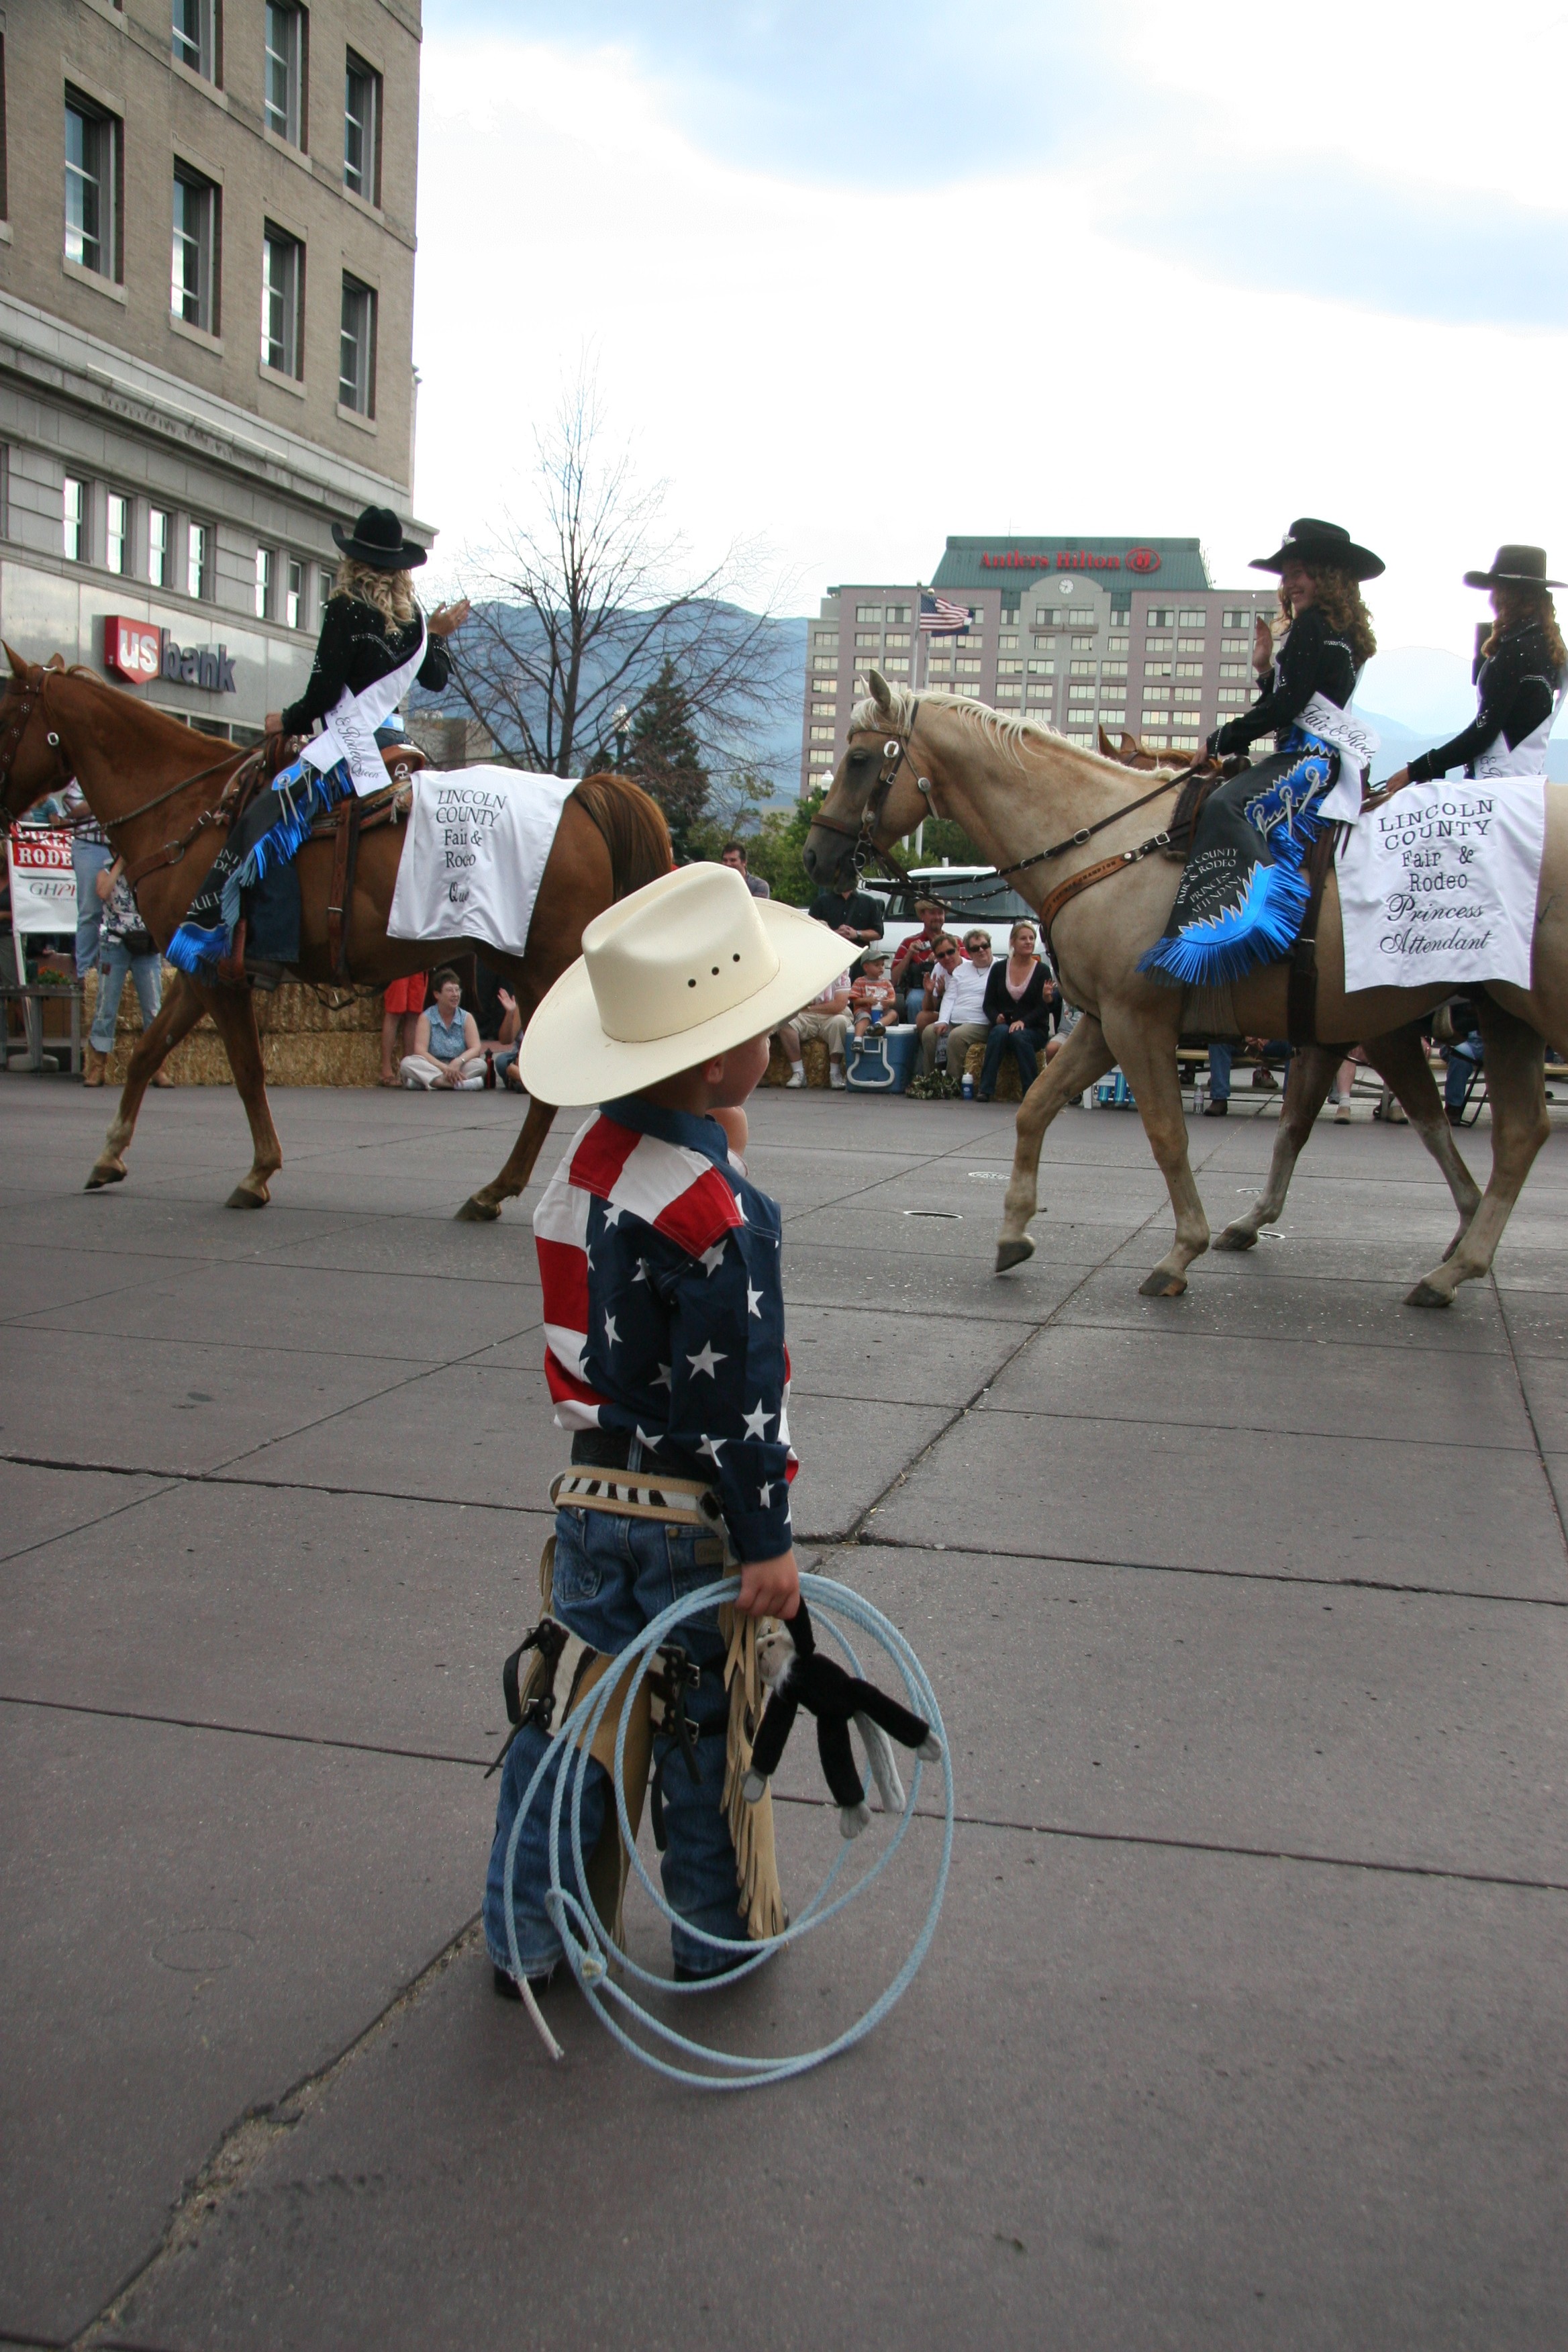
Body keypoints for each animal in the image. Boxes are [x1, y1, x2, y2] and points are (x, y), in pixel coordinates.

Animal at [0, 654, 667, 1223]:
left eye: (8, 712)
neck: (188, 810)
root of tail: (582, 794)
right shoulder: (195, 969)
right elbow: (147, 1052)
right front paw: (110, 1155)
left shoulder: (216, 973)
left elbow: (246, 1068)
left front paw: (257, 1173)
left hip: (540, 972)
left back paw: (504, 1190)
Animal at [803, 673, 1561, 1317]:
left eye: (861, 761)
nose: (815, 857)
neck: (1107, 846)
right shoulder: (1105, 1023)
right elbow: (1035, 1108)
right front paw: (1015, 1231)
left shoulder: (1140, 1023)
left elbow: (1169, 1134)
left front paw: (1181, 1252)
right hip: (1504, 1016)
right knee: (1522, 1132)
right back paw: (1456, 1262)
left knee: (1514, 1131)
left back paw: (1456, 1264)